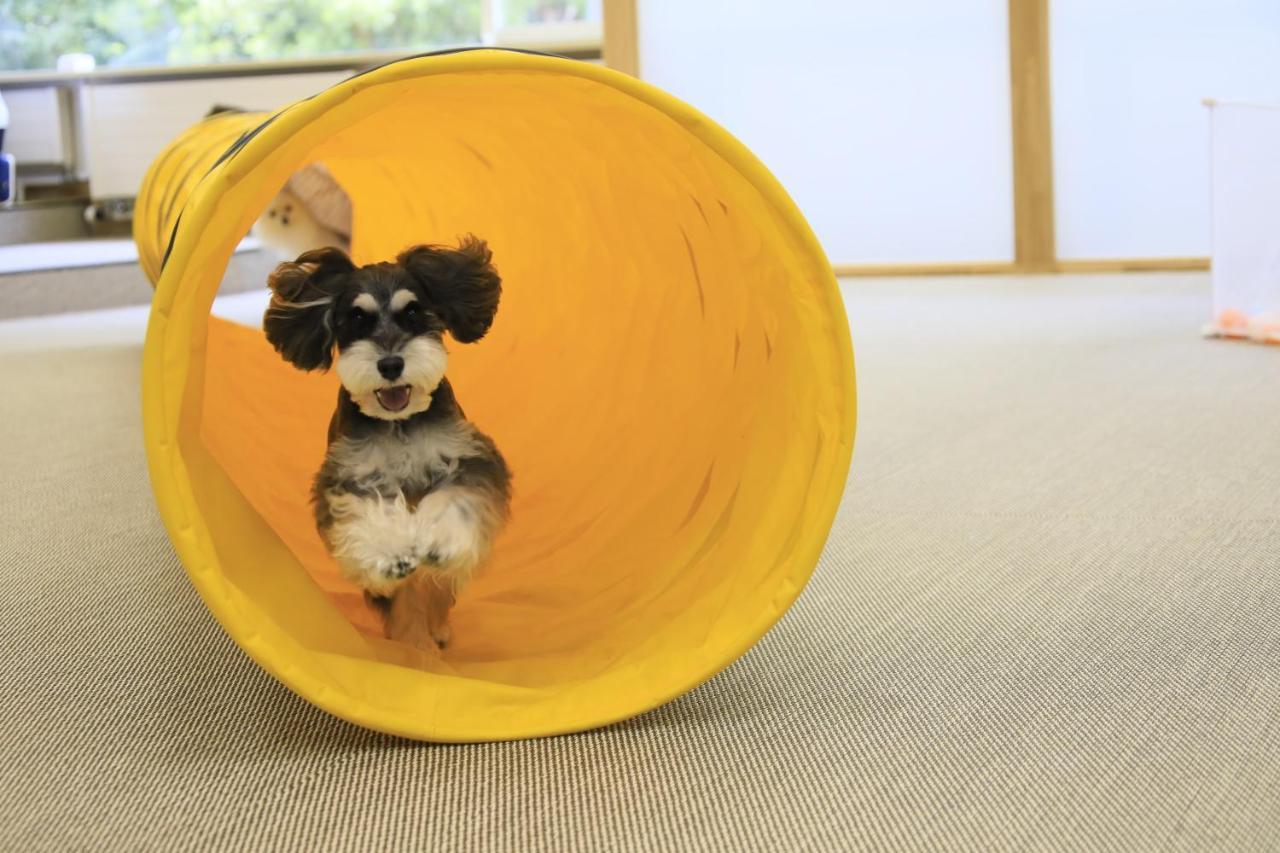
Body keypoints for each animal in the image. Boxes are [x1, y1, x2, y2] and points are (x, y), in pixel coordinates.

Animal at [263, 235, 509, 648]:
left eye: (413, 312)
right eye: (357, 320)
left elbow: (455, 500)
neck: (399, 426)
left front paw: (439, 541)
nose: (391, 365)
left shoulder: (466, 457)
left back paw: (437, 627)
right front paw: (390, 553)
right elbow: (367, 512)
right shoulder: (351, 475)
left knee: (437, 589)